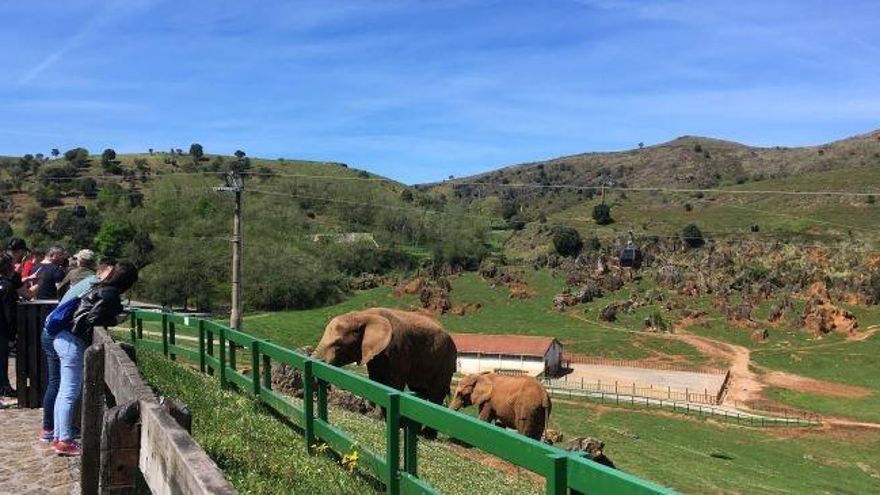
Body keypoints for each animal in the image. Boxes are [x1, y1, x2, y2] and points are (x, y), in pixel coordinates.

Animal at [312, 308, 457, 436]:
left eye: (338, 344)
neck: (363, 315)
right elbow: (376, 380)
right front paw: (377, 417)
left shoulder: (397, 349)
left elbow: (393, 383)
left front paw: (381, 418)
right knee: (420, 390)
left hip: (446, 361)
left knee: (436, 393)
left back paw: (427, 435)